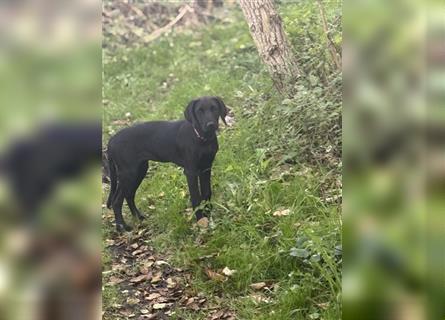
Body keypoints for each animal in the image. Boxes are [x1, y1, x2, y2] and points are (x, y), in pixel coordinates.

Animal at [106, 96, 227, 231]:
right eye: (199, 111)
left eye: (214, 108)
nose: (211, 125)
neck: (202, 138)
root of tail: (111, 141)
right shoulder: (191, 171)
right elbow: (196, 197)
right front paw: (201, 220)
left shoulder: (206, 168)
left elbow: (206, 192)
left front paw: (208, 214)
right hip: (129, 173)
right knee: (116, 201)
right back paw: (121, 227)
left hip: (138, 170)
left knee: (129, 195)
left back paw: (138, 217)